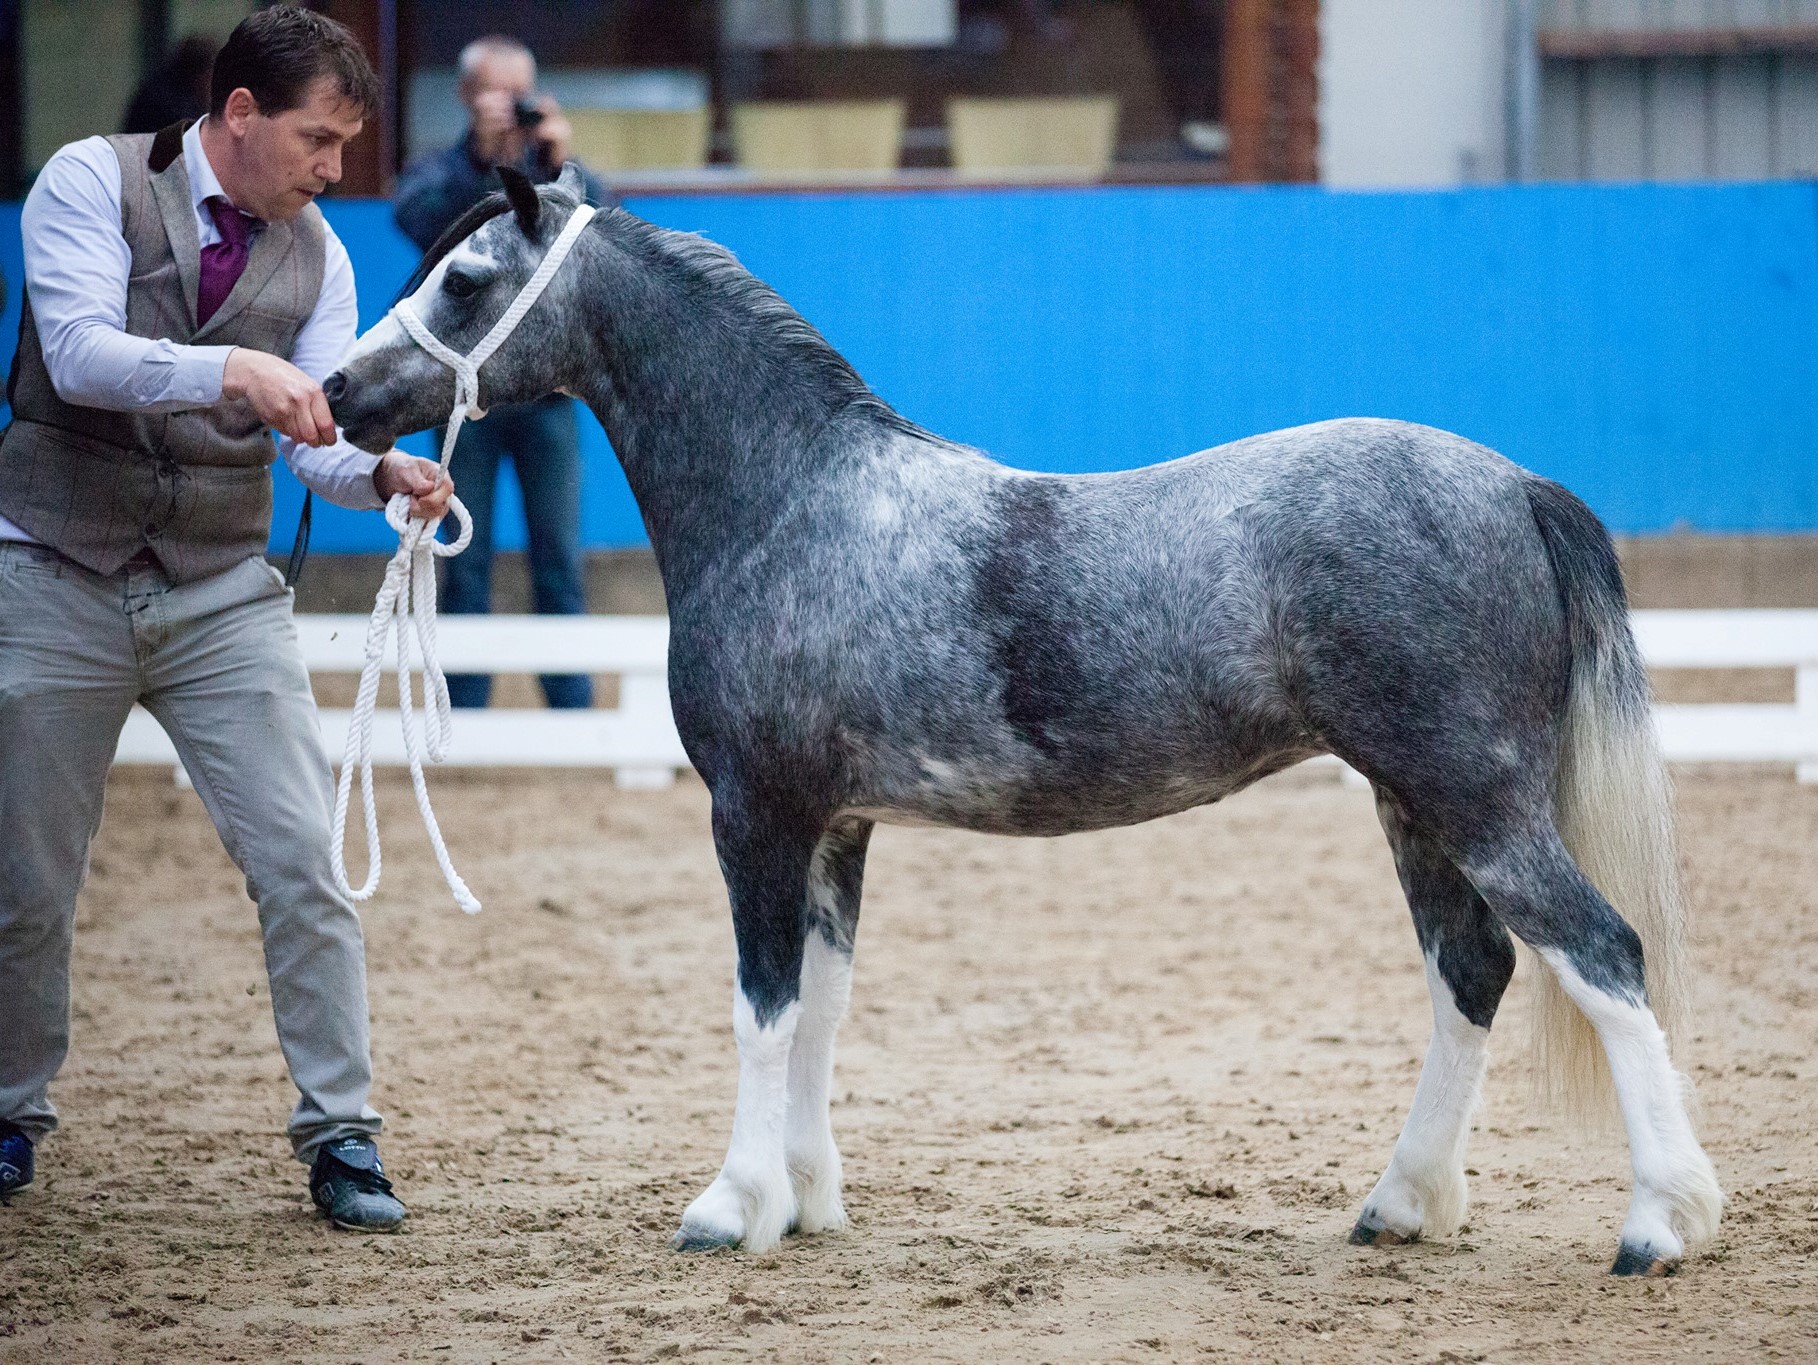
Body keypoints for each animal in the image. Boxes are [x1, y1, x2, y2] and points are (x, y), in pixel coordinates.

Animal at [323, 168, 1716, 1279]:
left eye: (463, 280)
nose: (337, 388)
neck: (798, 502)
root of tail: (1515, 484)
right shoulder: (837, 828)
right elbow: (822, 1005)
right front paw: (806, 1202)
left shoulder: (755, 816)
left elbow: (760, 1005)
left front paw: (729, 1207)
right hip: (1414, 804)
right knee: (1473, 971)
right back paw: (1403, 1204)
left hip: (1472, 795)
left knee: (1602, 953)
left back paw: (1658, 1224)